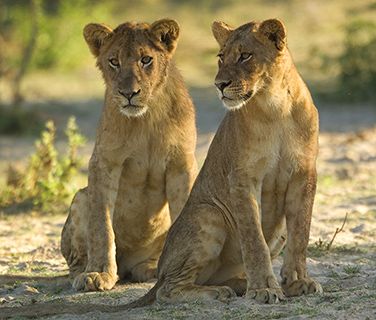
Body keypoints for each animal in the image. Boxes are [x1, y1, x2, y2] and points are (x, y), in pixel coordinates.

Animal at [59, 18, 197, 292]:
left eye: (146, 60)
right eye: (114, 61)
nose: (129, 93)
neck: (147, 117)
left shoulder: (182, 163)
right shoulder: (104, 162)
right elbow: (101, 224)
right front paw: (98, 273)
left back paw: (151, 268)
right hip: (81, 197)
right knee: (76, 258)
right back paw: (84, 273)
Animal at [130, 18, 324, 308]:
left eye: (245, 56)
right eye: (221, 57)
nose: (219, 84)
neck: (275, 106)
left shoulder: (304, 173)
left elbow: (301, 232)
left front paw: (299, 282)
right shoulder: (243, 178)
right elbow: (254, 240)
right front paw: (264, 289)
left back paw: (244, 285)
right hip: (209, 214)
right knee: (167, 289)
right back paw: (219, 292)